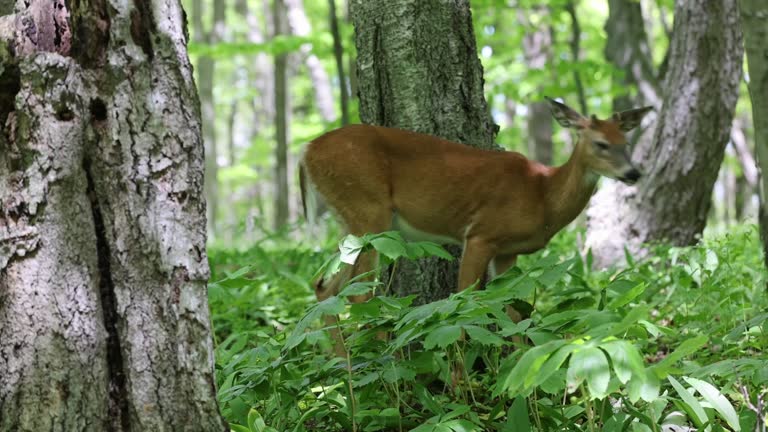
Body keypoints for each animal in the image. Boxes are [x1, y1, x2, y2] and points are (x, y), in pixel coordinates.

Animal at [300, 98, 656, 354]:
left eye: (625, 142)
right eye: (600, 143)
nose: (633, 173)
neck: (542, 195)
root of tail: (306, 152)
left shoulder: (508, 252)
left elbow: (513, 310)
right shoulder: (481, 234)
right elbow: (463, 303)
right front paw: (461, 387)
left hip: (353, 220)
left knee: (324, 286)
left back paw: (342, 365)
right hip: (369, 210)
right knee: (359, 293)